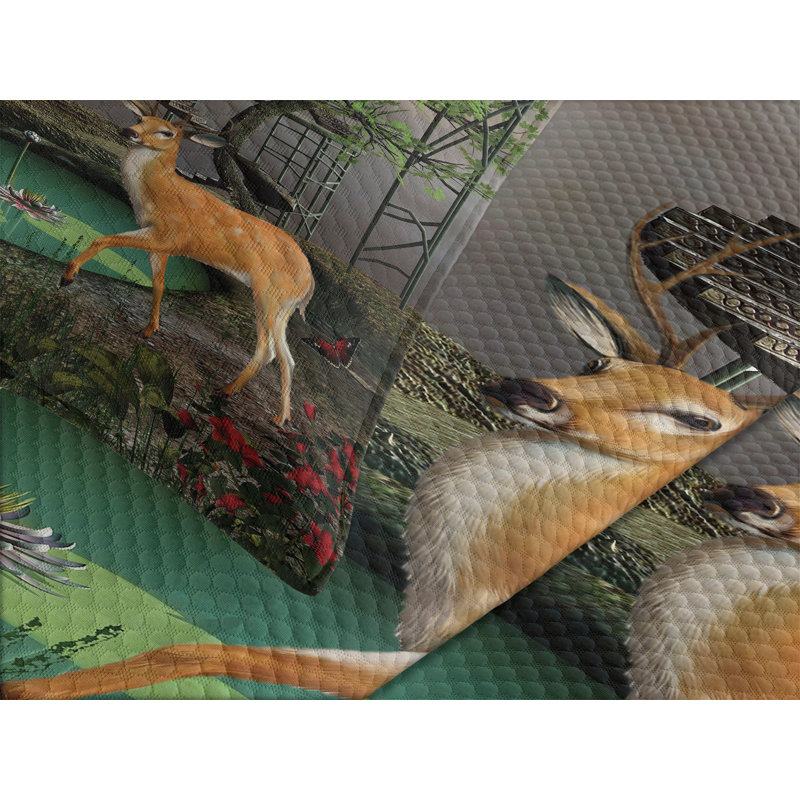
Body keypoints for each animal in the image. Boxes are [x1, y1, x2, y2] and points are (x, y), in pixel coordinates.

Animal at [58, 101, 315, 425]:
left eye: (167, 132)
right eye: (141, 118)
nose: (128, 132)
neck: (158, 193)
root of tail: (310, 284)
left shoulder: (168, 235)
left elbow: (104, 240)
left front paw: (68, 275)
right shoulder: (162, 245)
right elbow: (159, 284)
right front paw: (149, 329)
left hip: (268, 292)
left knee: (267, 349)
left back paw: (227, 391)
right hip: (284, 307)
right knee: (287, 358)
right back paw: (279, 417)